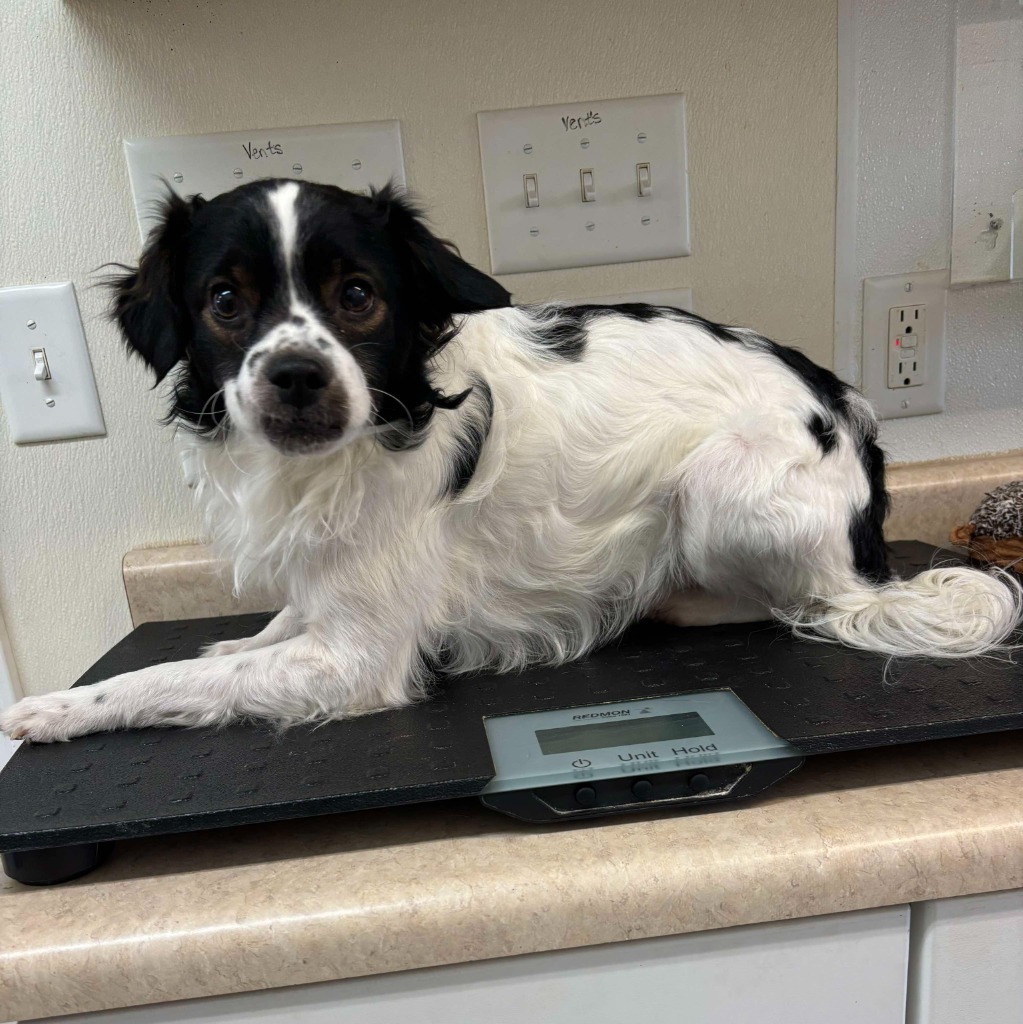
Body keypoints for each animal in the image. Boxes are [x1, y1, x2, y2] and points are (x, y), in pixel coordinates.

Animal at [4, 180, 1019, 741]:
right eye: (224, 300)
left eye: (358, 295)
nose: (294, 375)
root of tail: (851, 419)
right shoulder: (329, 599)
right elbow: (266, 630)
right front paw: (243, 632)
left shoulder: (357, 661)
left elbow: (173, 682)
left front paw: (55, 709)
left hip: (719, 491)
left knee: (806, 605)